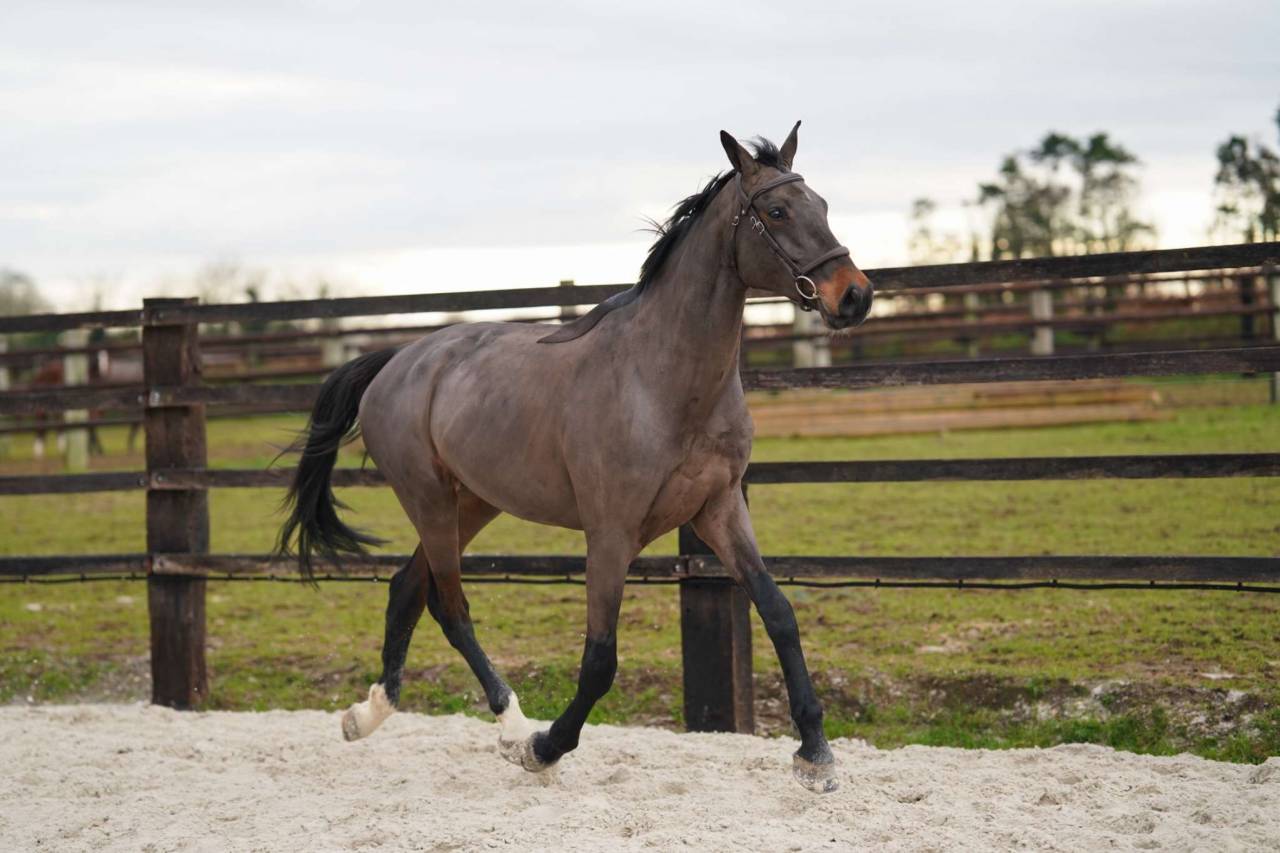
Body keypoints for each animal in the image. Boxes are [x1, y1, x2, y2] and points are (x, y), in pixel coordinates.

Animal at [277, 123, 874, 793]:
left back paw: (366, 716)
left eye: (821, 205)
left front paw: (815, 754)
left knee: (409, 588)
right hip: (427, 498)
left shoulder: (720, 511)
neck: (661, 379)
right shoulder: (611, 533)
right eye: (777, 212)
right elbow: (599, 659)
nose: (854, 296)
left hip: (474, 501)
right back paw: (513, 729)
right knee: (450, 605)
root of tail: (398, 361)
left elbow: (779, 613)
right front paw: (546, 747)